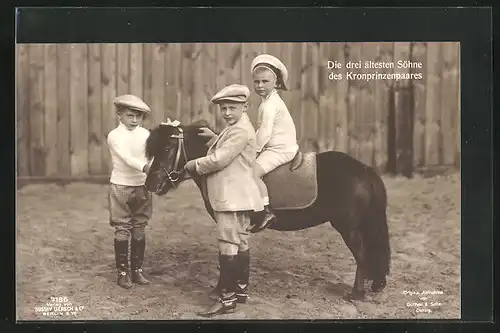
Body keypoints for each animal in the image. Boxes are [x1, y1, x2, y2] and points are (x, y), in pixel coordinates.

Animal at [145, 120, 390, 298]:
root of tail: (364, 169)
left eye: (167, 148)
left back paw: (356, 293)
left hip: (349, 228)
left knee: (362, 255)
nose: (150, 184)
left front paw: (220, 291)